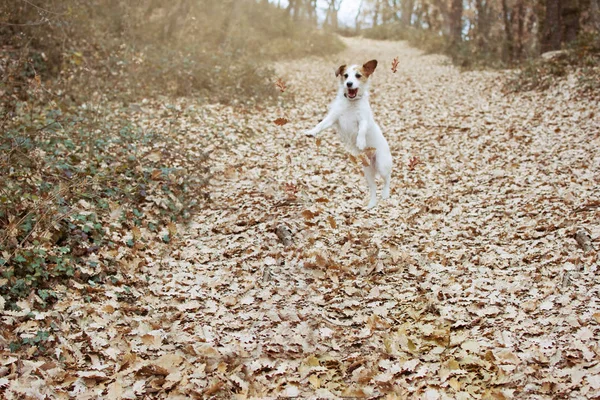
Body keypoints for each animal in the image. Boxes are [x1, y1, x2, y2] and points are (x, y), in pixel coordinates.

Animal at [304, 60, 394, 209]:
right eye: (345, 75)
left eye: (358, 75)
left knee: (387, 179)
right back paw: (371, 204)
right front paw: (311, 132)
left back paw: (386, 193)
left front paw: (360, 141)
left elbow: (362, 130)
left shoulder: (363, 120)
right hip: (367, 172)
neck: (351, 103)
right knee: (374, 188)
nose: (349, 84)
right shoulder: (333, 118)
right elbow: (321, 124)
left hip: (382, 164)